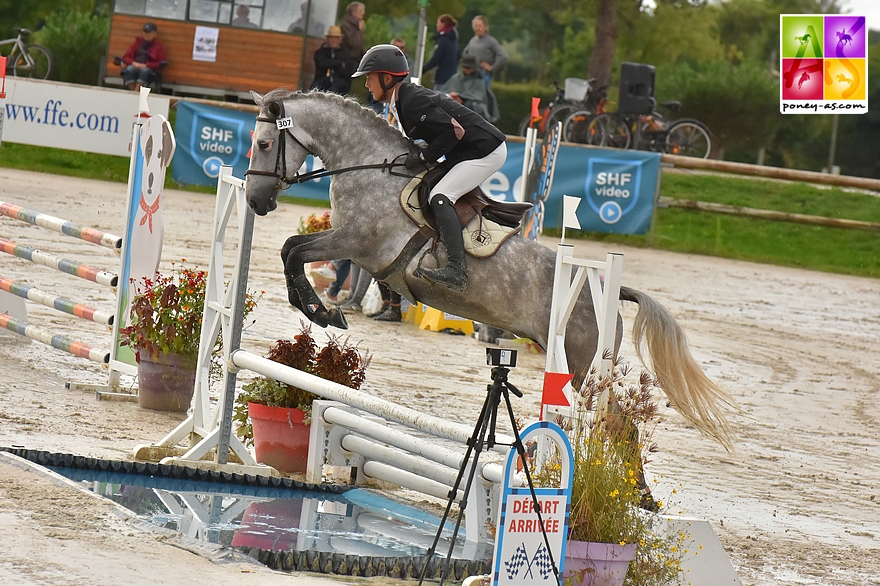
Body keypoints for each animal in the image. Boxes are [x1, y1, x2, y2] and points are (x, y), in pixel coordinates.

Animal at [244, 89, 740, 450]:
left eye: (264, 144)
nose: (255, 201)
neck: (370, 169)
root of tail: (608, 288)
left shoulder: (357, 244)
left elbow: (293, 250)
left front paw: (321, 310)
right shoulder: (348, 243)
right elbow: (291, 250)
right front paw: (318, 309)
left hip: (581, 366)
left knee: (617, 423)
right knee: (616, 423)